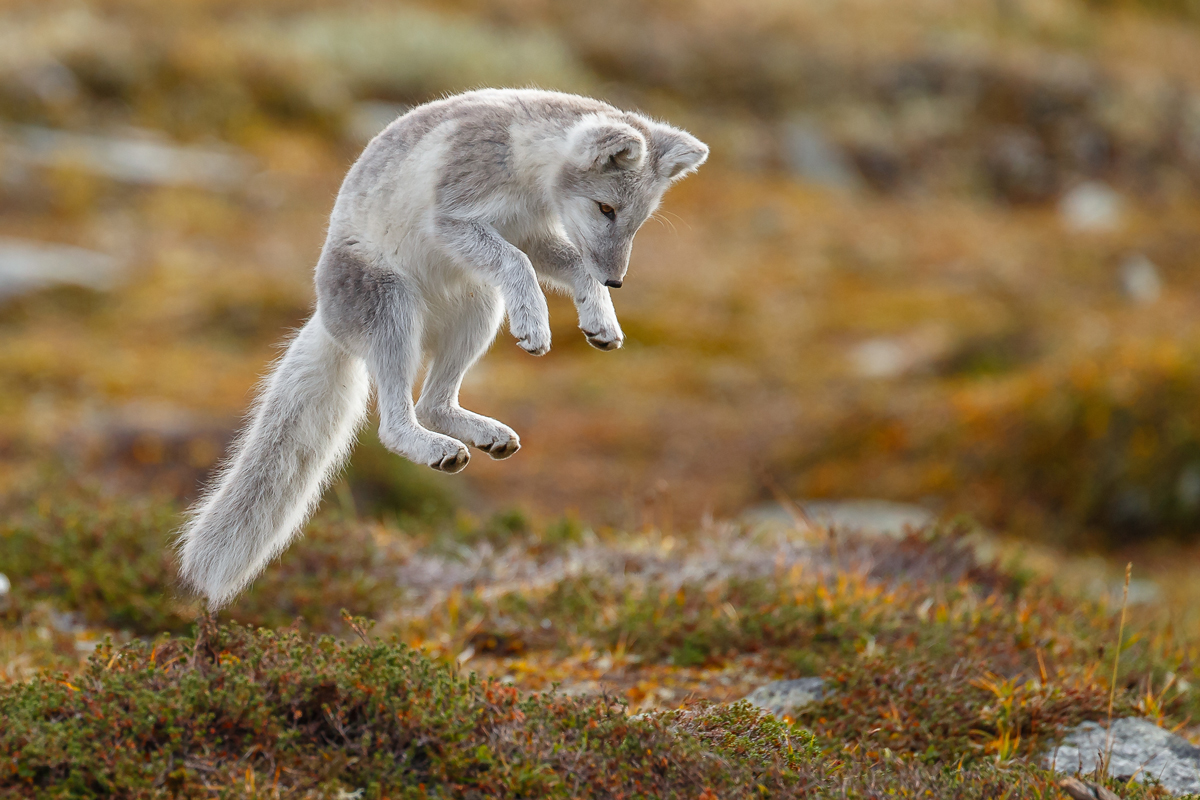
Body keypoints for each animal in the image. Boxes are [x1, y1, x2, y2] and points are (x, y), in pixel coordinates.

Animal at [176, 89, 708, 609]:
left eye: (638, 220)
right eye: (606, 208)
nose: (616, 280)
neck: (525, 164)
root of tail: (326, 318)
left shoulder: (529, 231)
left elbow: (568, 264)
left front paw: (600, 317)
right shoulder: (455, 217)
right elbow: (519, 263)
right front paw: (537, 324)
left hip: (480, 306)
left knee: (434, 403)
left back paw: (482, 434)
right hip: (395, 305)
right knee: (394, 423)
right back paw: (435, 448)